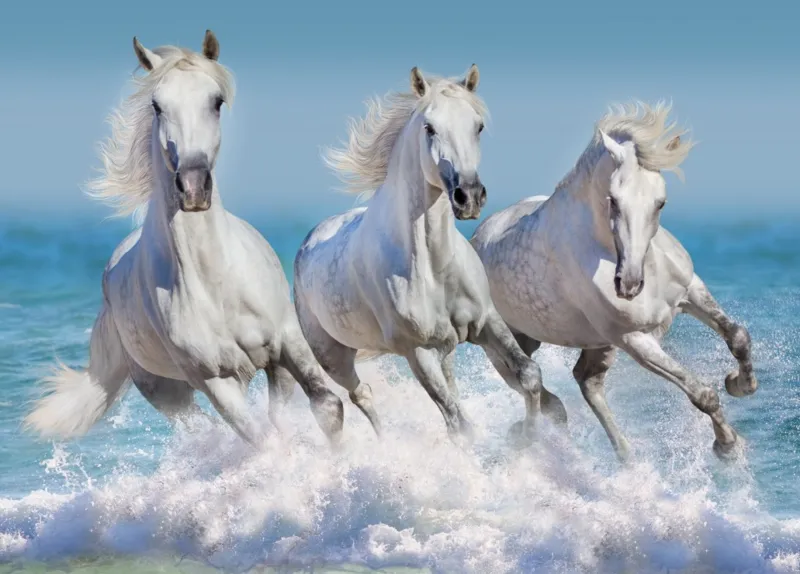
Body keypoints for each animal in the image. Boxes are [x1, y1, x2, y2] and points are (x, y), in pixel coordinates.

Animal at [24, 31, 344, 448]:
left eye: (216, 101)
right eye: (157, 105)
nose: (193, 186)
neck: (216, 283)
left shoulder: (286, 346)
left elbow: (327, 408)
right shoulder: (216, 382)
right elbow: (267, 440)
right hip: (168, 393)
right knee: (204, 431)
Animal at [292, 65, 567, 446]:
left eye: (478, 125)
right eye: (429, 127)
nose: (469, 196)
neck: (433, 267)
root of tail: (309, 240)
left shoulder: (487, 322)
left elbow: (529, 375)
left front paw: (530, 439)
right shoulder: (416, 352)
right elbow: (455, 422)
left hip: (446, 346)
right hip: (334, 357)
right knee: (359, 395)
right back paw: (382, 445)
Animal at [471, 102, 758, 461]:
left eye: (660, 202)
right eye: (613, 199)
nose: (629, 284)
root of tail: (478, 236)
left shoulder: (691, 291)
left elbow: (738, 336)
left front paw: (740, 384)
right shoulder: (633, 339)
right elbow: (700, 392)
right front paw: (727, 445)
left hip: (596, 343)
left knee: (587, 381)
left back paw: (625, 456)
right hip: (506, 342)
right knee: (532, 383)